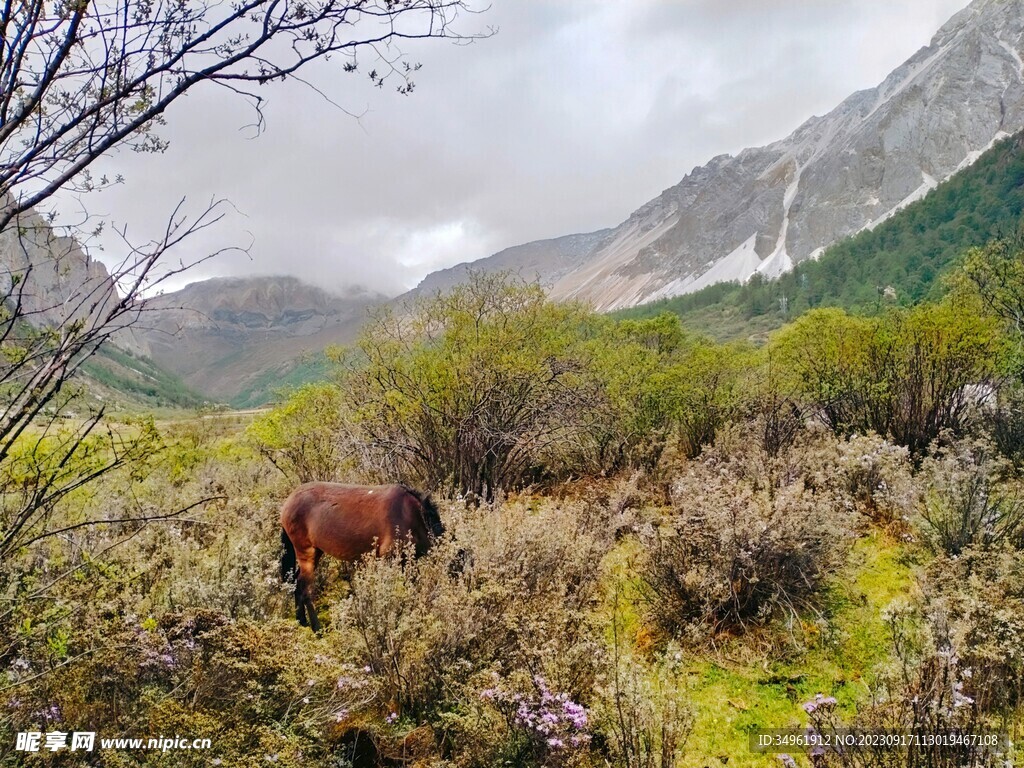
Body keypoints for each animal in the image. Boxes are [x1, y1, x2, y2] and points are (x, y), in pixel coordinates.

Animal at [280, 483, 444, 634]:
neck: (412, 516)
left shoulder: (409, 561)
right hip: (306, 552)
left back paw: (301, 621)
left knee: (297, 583)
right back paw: (317, 629)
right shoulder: (390, 559)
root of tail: (288, 501)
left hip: (316, 552)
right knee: (305, 588)